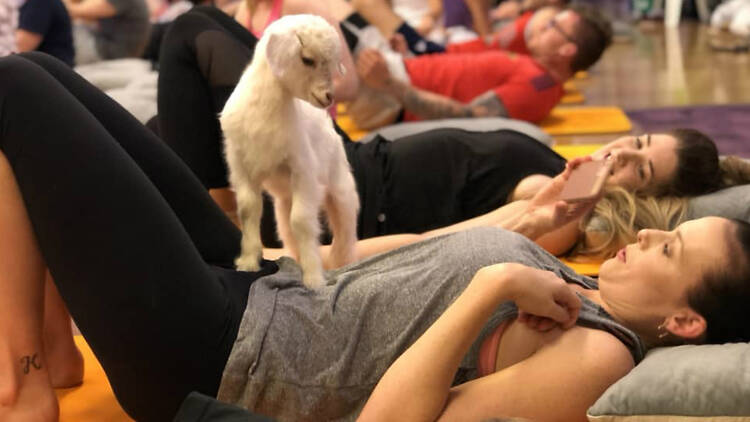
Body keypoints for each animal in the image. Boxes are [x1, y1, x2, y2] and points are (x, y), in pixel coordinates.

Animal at [220, 14, 362, 288]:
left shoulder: (303, 171)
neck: (267, 111)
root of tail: (327, 124)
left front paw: (314, 277)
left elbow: (303, 221)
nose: (329, 97)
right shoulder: (240, 166)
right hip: (283, 203)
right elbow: (248, 209)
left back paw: (341, 261)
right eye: (307, 59)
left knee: (345, 230)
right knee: (288, 230)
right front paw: (248, 262)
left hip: (341, 189)